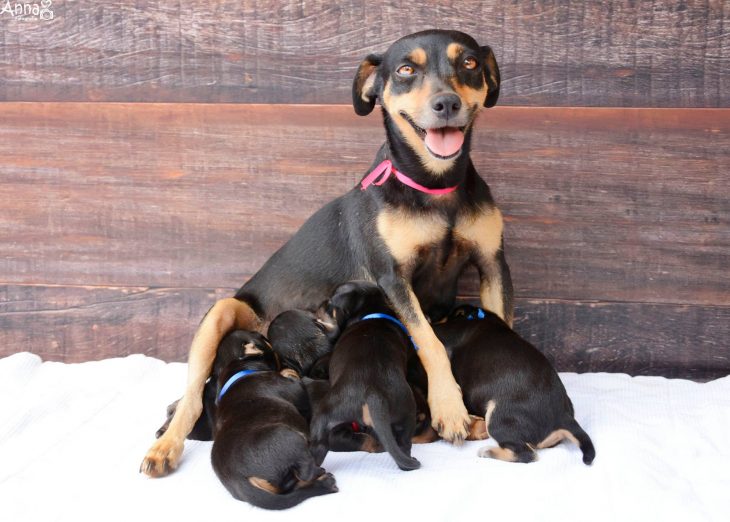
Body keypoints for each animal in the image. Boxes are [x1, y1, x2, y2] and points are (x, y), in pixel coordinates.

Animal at [209, 330, 336, 508]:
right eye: (263, 338)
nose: (288, 362)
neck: (237, 372)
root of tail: (239, 480)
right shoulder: (294, 389)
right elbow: (292, 379)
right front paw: (288, 372)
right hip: (288, 436)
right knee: (307, 471)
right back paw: (324, 478)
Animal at [308, 282, 420, 470]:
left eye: (330, 304)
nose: (317, 306)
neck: (372, 311)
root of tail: (373, 392)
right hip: (406, 412)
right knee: (404, 443)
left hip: (326, 416)